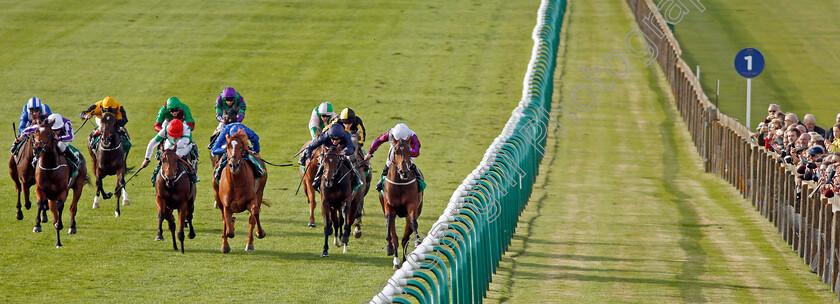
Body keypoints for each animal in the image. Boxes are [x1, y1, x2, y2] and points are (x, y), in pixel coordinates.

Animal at [378, 139, 424, 268]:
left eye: (409, 151)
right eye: (396, 151)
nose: (404, 172)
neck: (400, 183)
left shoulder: (412, 205)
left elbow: (414, 222)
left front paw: (417, 242)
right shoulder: (389, 206)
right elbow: (389, 223)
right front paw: (389, 247)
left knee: (405, 238)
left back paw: (404, 260)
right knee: (396, 236)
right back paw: (396, 261)